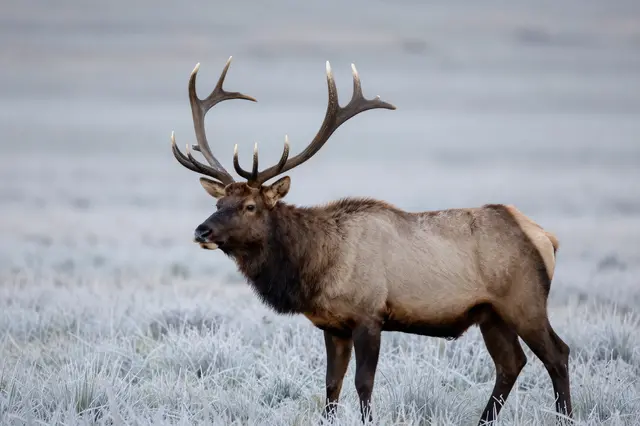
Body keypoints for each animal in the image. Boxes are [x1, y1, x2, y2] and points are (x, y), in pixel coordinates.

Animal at [168, 56, 573, 425]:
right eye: (218, 203)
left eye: (250, 206)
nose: (201, 231)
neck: (315, 266)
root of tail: (545, 237)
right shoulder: (333, 325)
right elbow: (331, 386)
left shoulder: (369, 314)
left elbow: (363, 384)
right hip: (491, 313)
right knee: (511, 363)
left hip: (524, 300)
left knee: (558, 354)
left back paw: (565, 415)